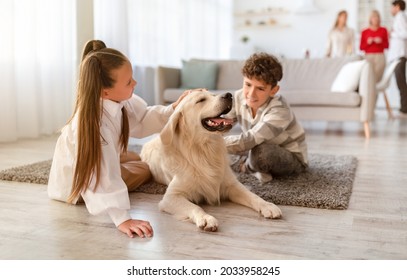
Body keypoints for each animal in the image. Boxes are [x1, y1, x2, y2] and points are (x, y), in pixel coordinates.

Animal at [140, 91, 280, 231]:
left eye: (212, 94)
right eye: (201, 100)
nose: (229, 95)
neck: (205, 150)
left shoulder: (231, 185)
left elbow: (252, 195)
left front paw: (268, 205)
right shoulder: (171, 196)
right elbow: (195, 207)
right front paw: (206, 218)